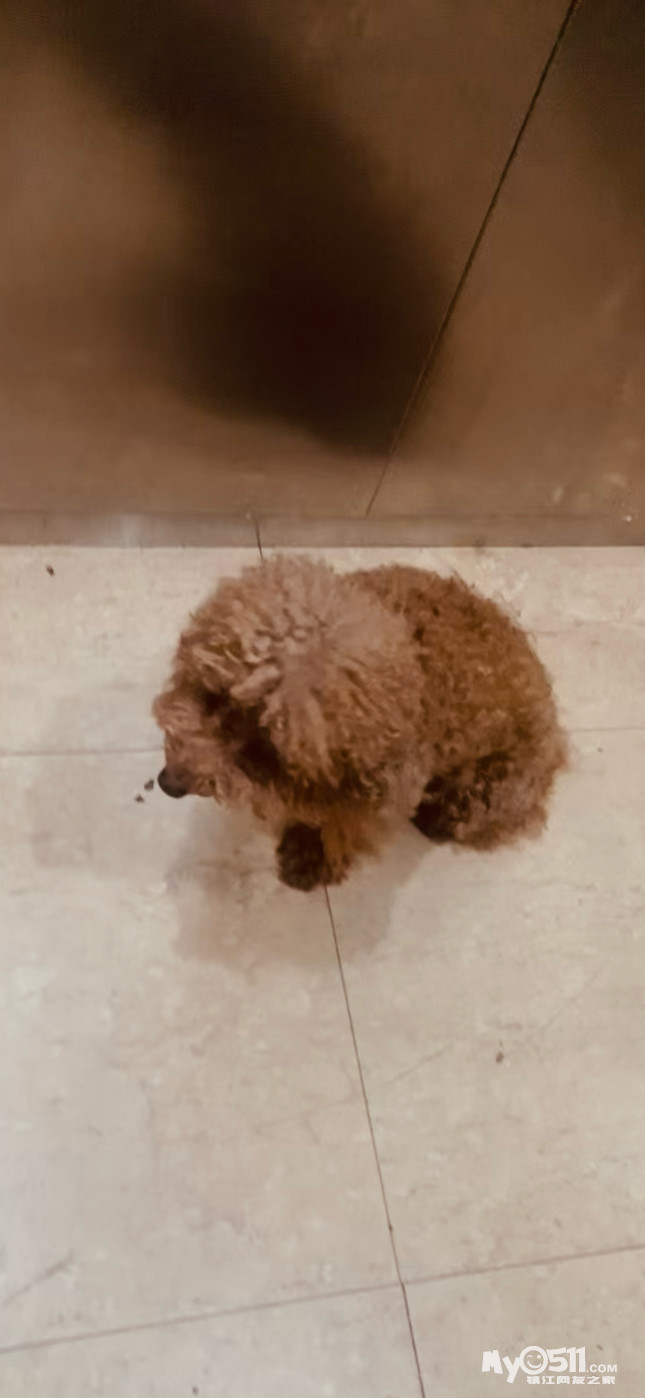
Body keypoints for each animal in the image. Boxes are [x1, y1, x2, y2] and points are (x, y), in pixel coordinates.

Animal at [154, 555, 566, 890]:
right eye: (214, 697)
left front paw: (310, 855)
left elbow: (337, 824)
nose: (168, 783)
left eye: (263, 749)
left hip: (498, 786)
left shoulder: (375, 797)